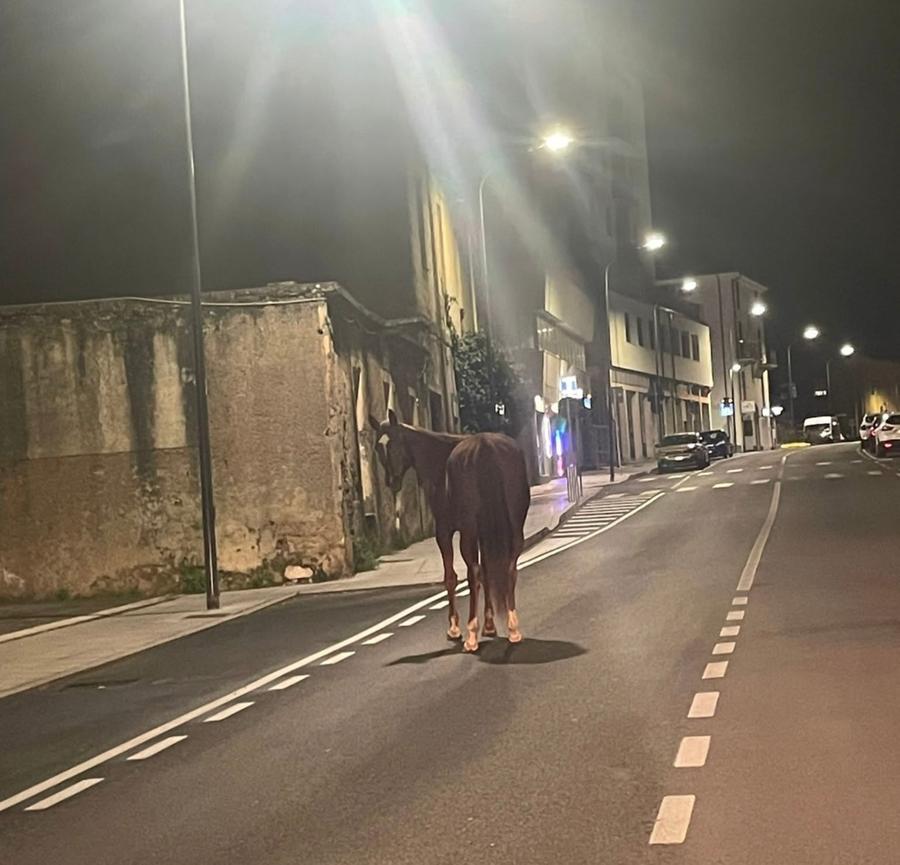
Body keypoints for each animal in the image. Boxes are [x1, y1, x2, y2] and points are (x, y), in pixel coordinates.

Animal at [369, 410, 497, 641]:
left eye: (395, 443)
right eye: (377, 447)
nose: (392, 482)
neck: (438, 461)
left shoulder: (444, 530)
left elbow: (451, 577)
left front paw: (454, 627)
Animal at [446, 433, 530, 651]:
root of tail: (483, 442)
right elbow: (488, 571)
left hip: (468, 530)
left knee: (473, 572)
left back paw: (471, 636)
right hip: (515, 525)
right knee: (510, 568)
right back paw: (513, 629)